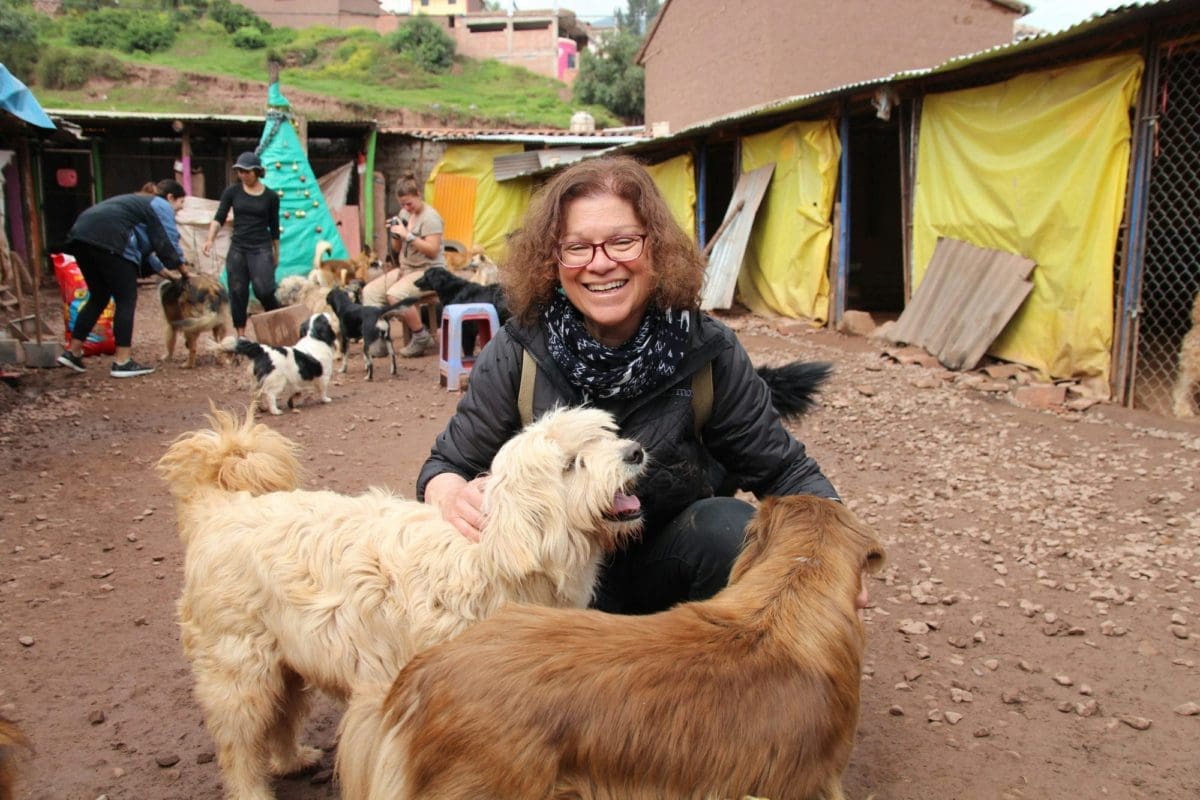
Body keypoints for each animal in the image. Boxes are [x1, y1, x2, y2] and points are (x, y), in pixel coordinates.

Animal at [159, 407, 652, 800]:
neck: (498, 554)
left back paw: (293, 758)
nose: (634, 452)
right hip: (239, 671)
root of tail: (219, 508)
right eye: (572, 464)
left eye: (602, 437)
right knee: (238, 747)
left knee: (280, 719)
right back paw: (253, 790)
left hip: (287, 663)